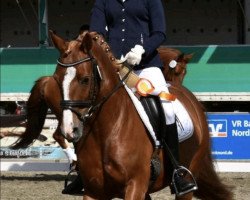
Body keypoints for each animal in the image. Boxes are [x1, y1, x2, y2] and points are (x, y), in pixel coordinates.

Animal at [54, 31, 232, 200]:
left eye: (85, 79)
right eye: (56, 79)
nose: (69, 129)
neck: (105, 131)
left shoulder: (135, 185)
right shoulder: (94, 191)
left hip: (188, 176)